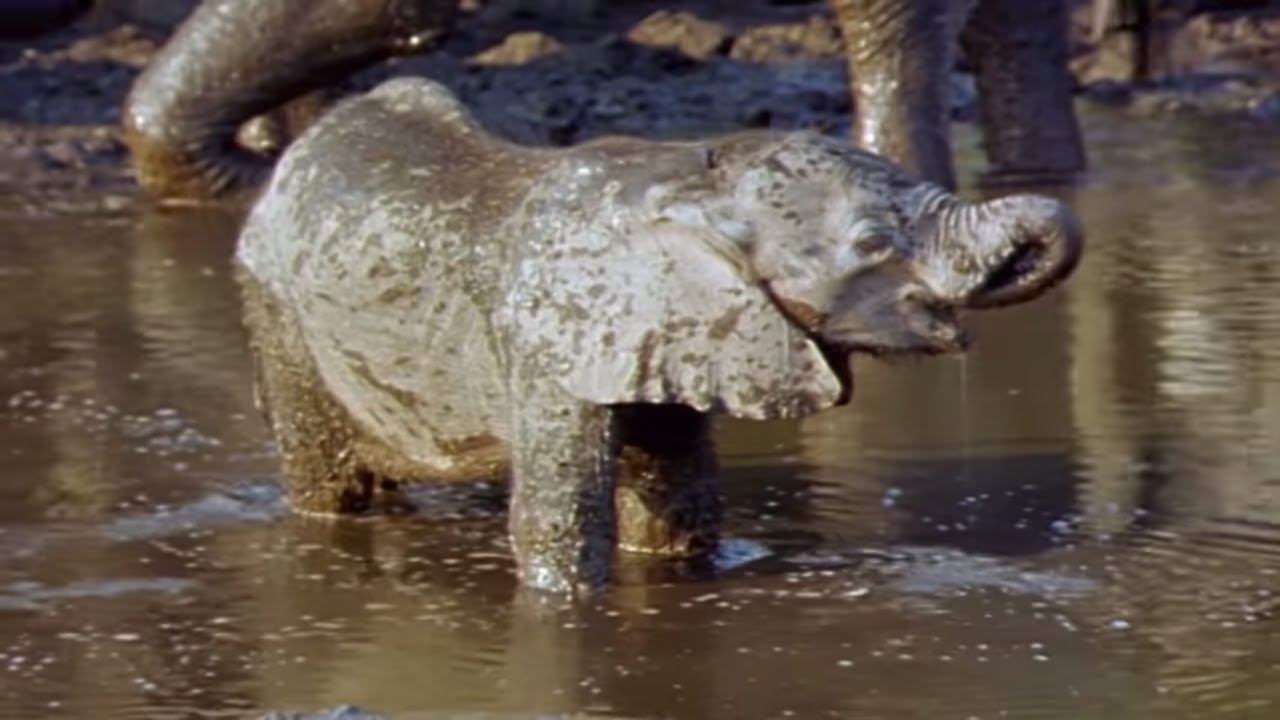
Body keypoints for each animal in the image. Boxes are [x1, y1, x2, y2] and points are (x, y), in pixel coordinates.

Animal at [235, 76, 1083, 594]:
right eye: (872, 242)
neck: (692, 180)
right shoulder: (549, 345)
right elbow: (560, 529)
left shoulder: (673, 337)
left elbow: (680, 512)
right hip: (274, 307)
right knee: (325, 482)